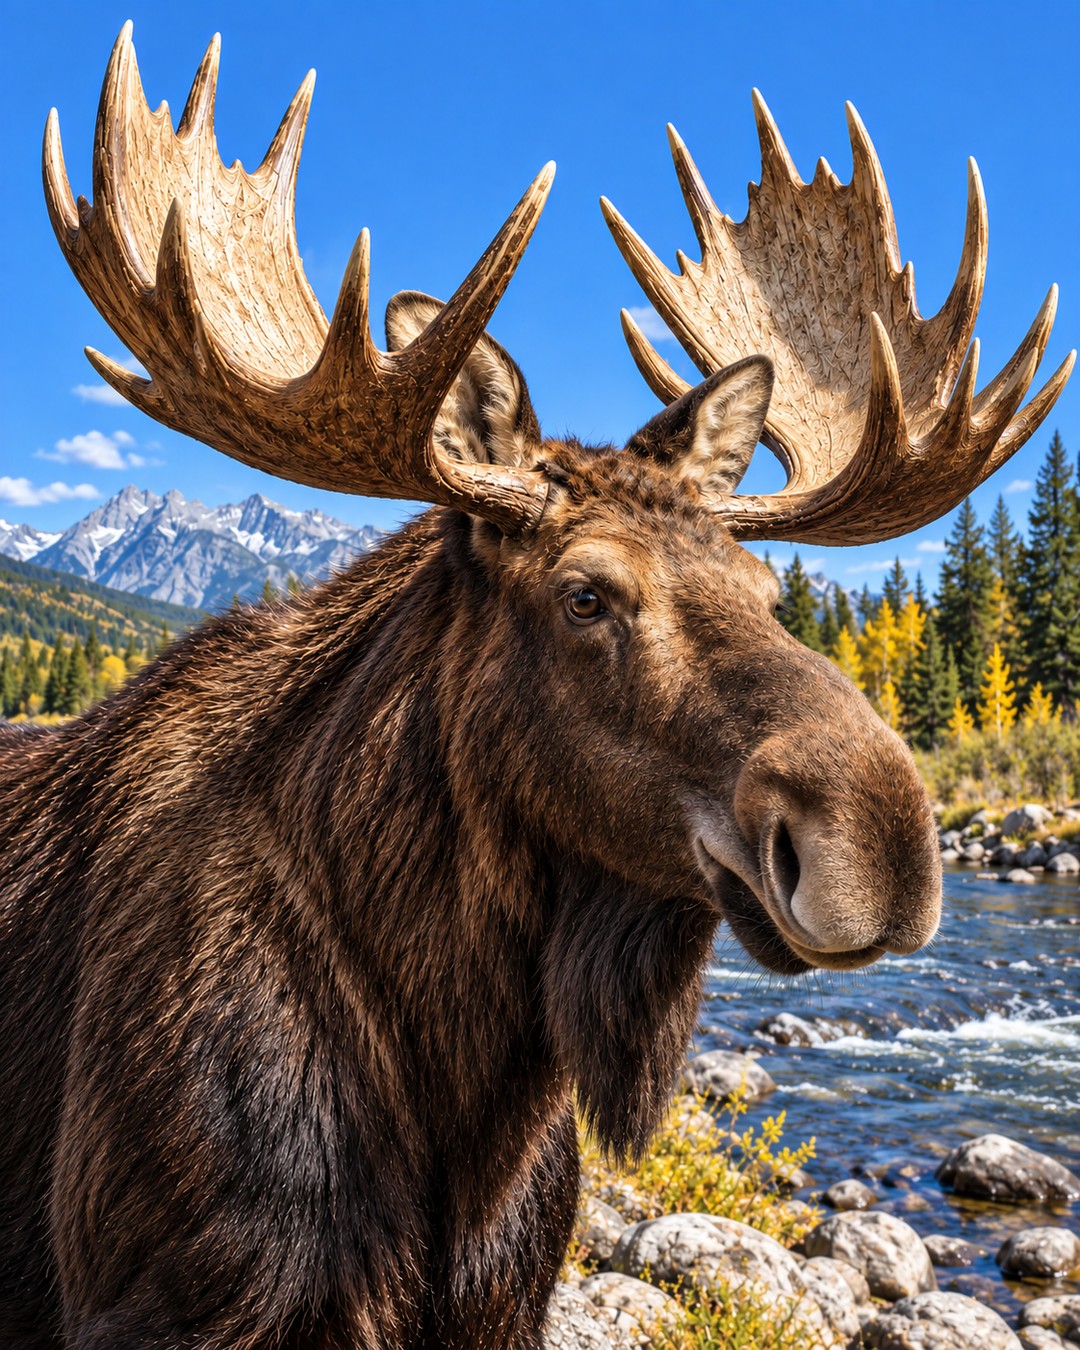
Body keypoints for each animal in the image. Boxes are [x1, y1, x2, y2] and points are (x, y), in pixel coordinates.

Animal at [0, 22, 1071, 1349]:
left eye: (770, 591)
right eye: (586, 595)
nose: (885, 844)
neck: (463, 1085)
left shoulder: (505, 1300)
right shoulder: (170, 1300)